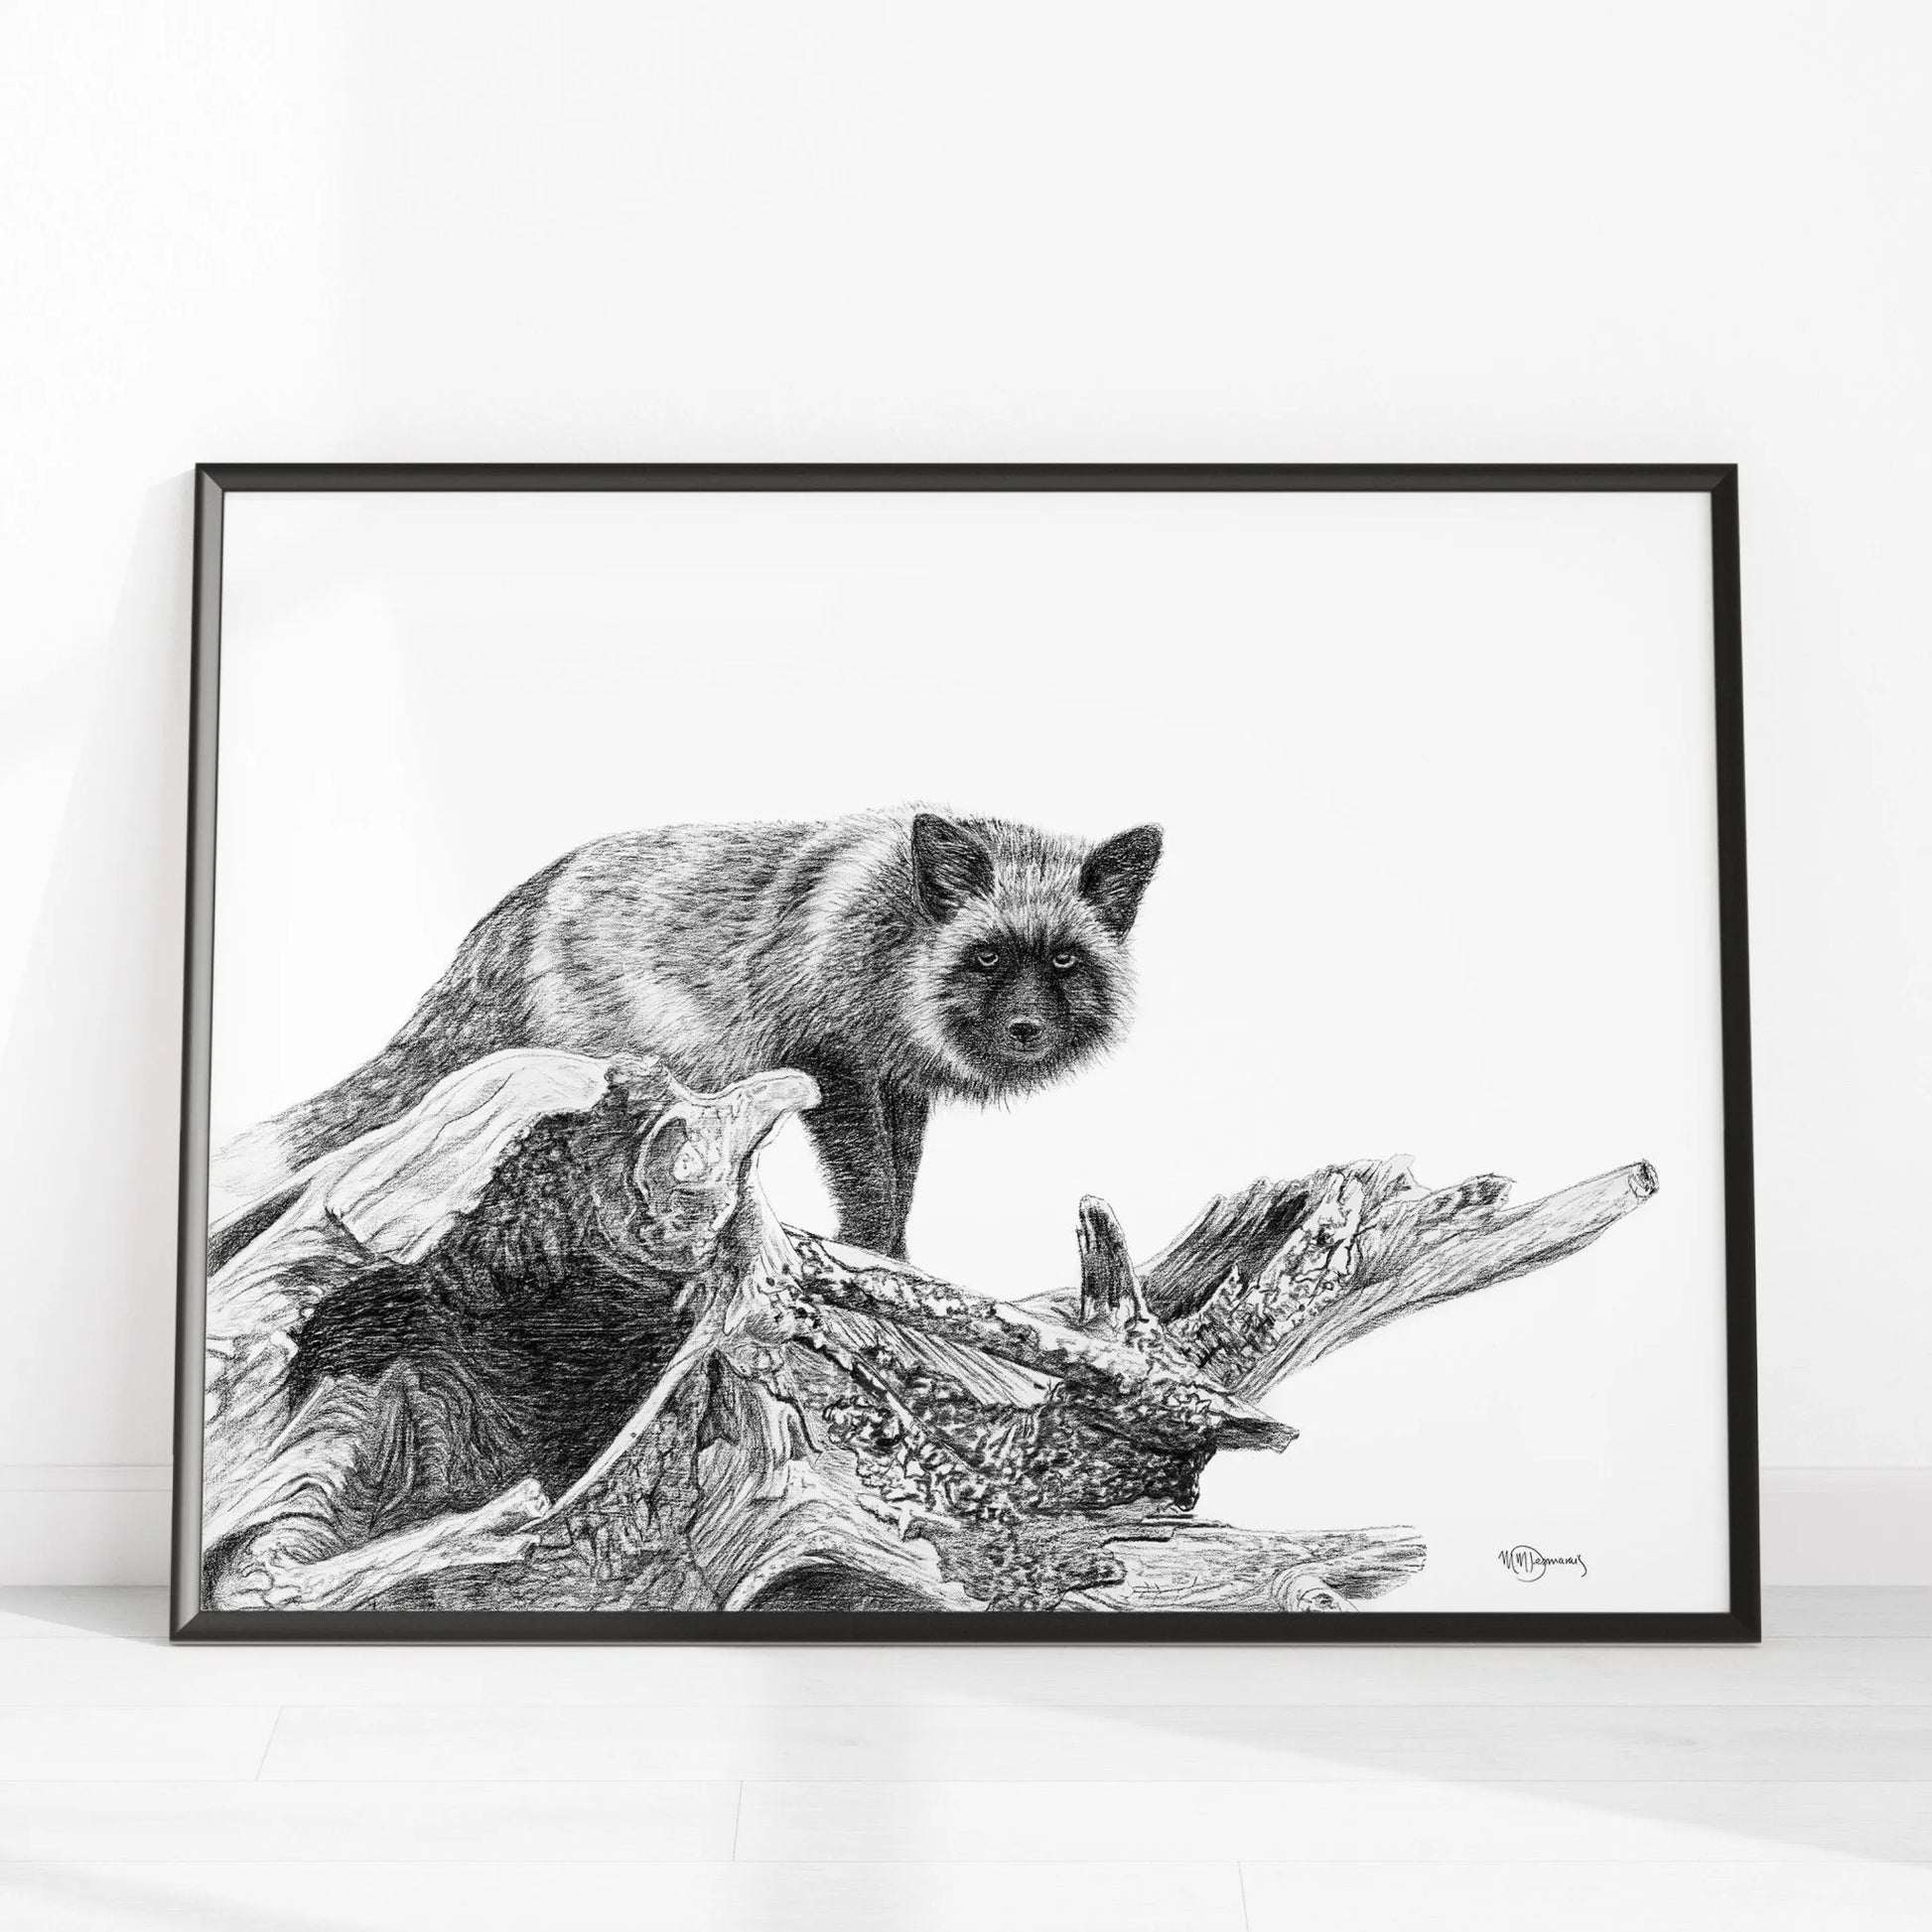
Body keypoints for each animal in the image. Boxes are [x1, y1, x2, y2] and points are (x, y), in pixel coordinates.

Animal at [215, 807, 1163, 1258]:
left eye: (1066, 961)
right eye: (989, 956)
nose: (1027, 1029)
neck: (892, 938)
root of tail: (514, 909)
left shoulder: (895, 1084)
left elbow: (903, 1177)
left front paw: (899, 1256)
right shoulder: (828, 1065)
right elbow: (871, 1184)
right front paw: (879, 1256)